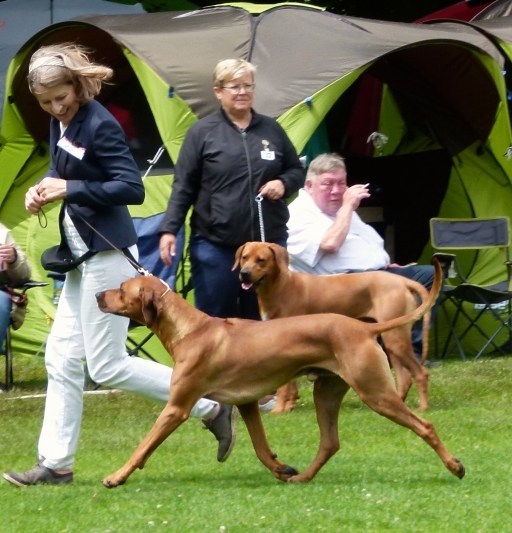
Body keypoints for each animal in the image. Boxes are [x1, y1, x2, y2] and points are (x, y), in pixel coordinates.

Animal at [234, 241, 434, 412]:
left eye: (261, 259)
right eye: (244, 257)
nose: (244, 273)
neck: (279, 287)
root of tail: (402, 281)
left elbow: (285, 387)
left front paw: (279, 410)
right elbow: (291, 386)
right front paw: (289, 406)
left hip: (396, 339)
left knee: (421, 373)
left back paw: (423, 408)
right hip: (391, 341)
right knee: (405, 379)